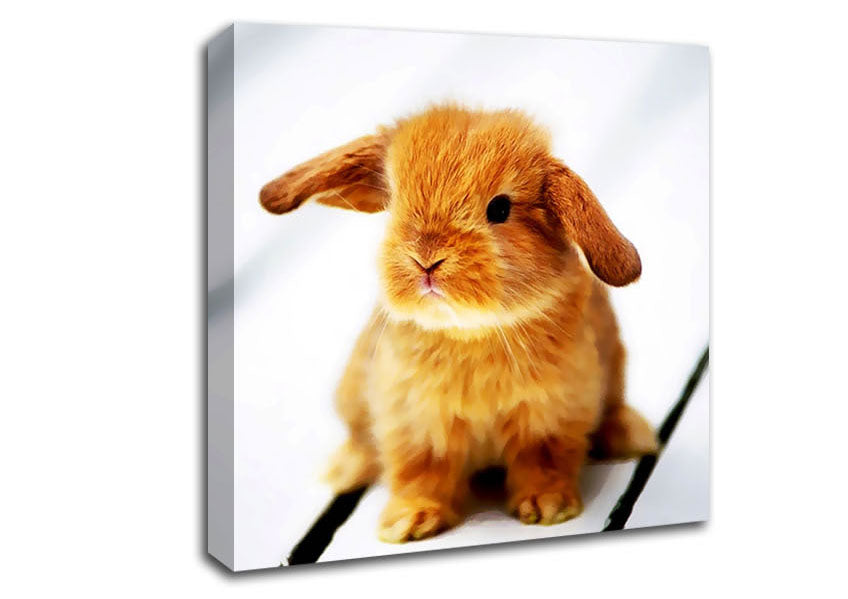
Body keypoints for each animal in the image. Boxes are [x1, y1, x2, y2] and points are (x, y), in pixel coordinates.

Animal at [260, 105, 658, 543]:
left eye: (499, 209)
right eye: (395, 202)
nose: (426, 260)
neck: (471, 331)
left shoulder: (552, 415)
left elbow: (543, 461)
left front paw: (548, 507)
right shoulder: (415, 422)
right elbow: (421, 472)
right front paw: (408, 523)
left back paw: (632, 437)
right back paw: (342, 472)